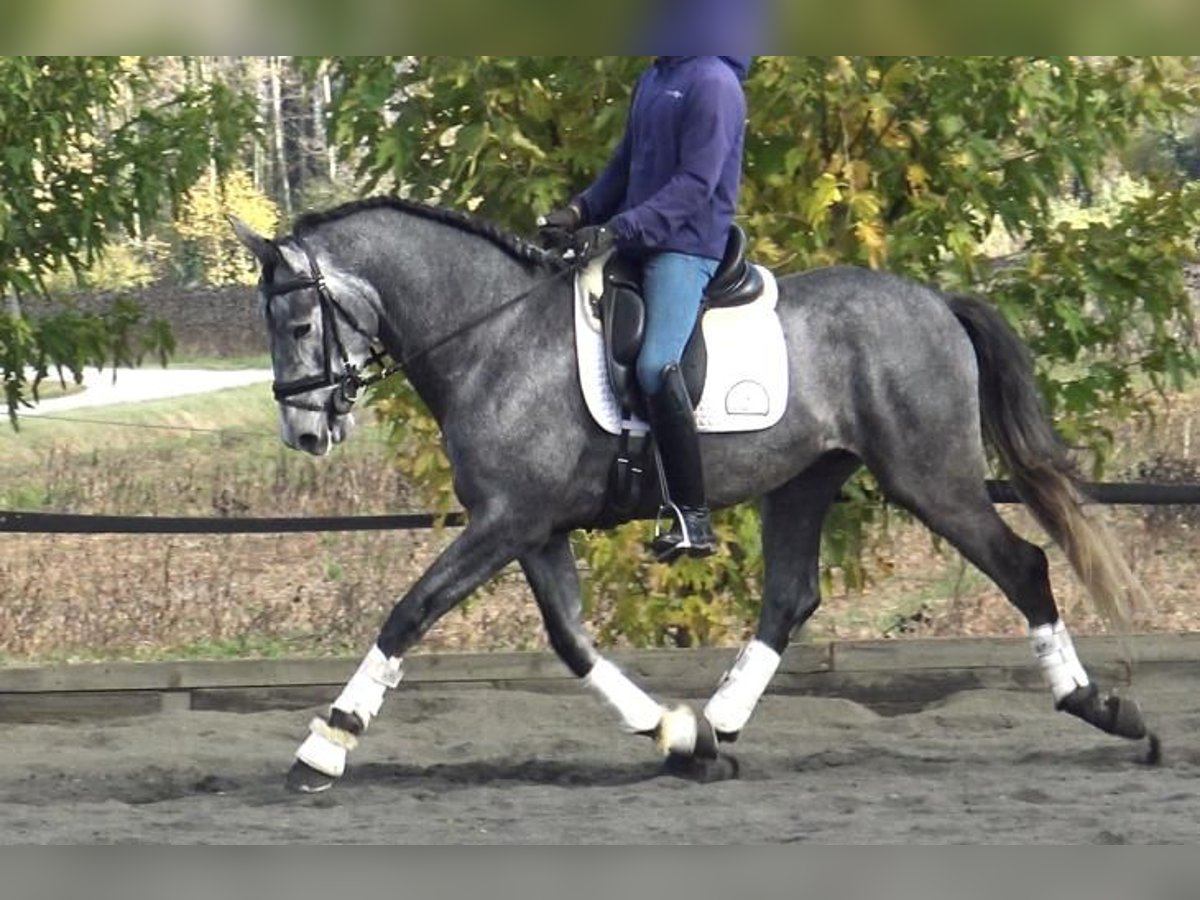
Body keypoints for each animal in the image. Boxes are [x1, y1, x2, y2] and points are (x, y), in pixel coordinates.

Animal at [229, 199, 1156, 796]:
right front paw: (677, 737)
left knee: (1023, 565)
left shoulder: (506, 521)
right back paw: (718, 725)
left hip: (931, 477)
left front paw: (324, 748)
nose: (303, 433)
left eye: (299, 323)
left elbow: (409, 612)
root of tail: (935, 301)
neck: (492, 336)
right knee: (789, 598)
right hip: (806, 481)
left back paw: (1107, 710)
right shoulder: (534, 528)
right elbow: (572, 643)